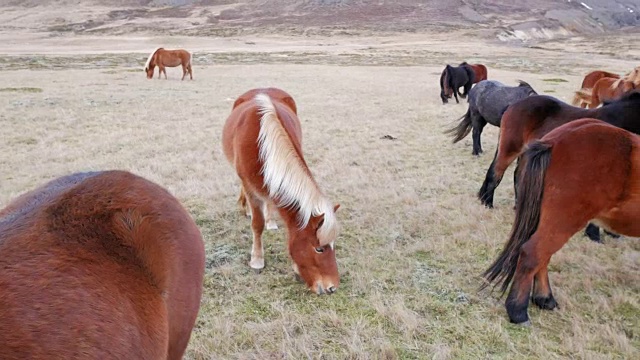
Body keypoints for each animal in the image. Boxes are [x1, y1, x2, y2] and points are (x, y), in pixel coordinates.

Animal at [221, 88, 340, 296]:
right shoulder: (250, 187)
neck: (262, 143)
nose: (332, 287)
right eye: (319, 249)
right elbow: (257, 224)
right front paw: (257, 260)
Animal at [482, 119, 640, 324]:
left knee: (542, 256)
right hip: (564, 221)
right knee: (533, 253)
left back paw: (544, 299)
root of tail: (553, 142)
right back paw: (518, 311)